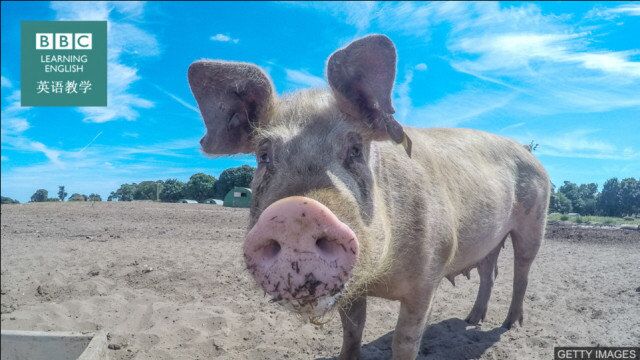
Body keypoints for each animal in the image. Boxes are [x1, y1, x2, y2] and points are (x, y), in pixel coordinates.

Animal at [186, 34, 552, 360]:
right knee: (489, 272)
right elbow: (353, 331)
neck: (379, 277)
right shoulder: (352, 293)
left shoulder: (429, 275)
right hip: (492, 236)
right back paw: (472, 320)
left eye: (355, 149)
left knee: (522, 272)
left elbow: (406, 341)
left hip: (535, 220)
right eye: (264, 155)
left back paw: (509, 326)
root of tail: (530, 156)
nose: (297, 213)